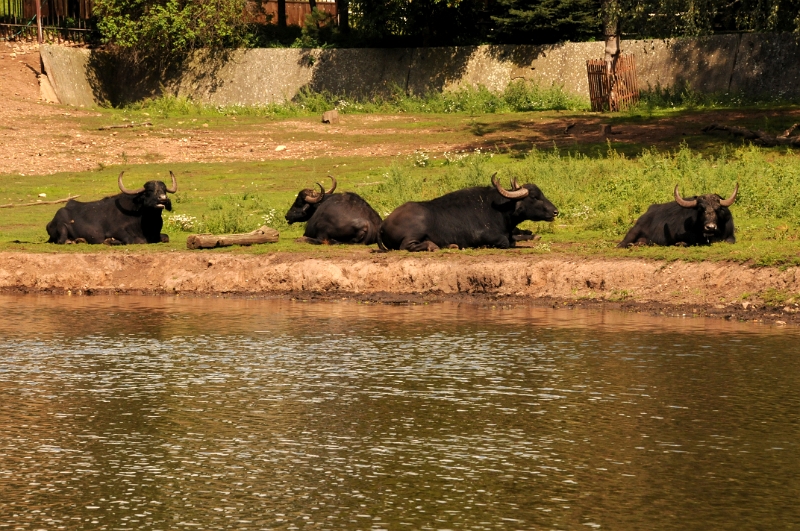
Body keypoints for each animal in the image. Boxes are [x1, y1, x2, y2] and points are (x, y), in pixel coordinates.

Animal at [47, 172, 179, 245]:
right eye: (149, 191)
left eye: (164, 190)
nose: (163, 199)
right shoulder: (115, 231)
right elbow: (129, 240)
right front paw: (109, 241)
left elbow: (166, 237)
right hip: (62, 227)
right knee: (62, 240)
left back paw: (81, 240)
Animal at [380, 172, 556, 251]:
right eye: (534, 197)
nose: (555, 212)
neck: (500, 211)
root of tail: (384, 224)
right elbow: (506, 241)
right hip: (417, 228)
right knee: (406, 246)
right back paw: (434, 246)